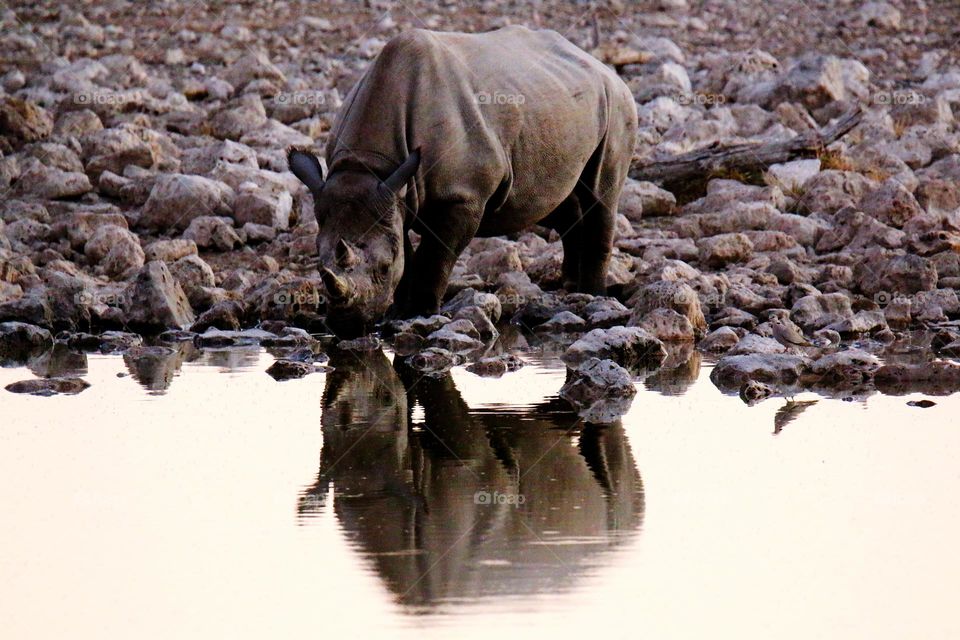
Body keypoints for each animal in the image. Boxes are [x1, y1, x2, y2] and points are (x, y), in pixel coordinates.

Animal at [288, 25, 637, 335]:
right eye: (317, 262)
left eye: (384, 268)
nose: (345, 328)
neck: (368, 166)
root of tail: (601, 66)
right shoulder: (395, 196)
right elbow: (407, 251)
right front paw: (400, 310)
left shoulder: (461, 195)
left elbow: (436, 256)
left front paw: (420, 313)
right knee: (553, 200)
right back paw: (570, 284)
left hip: (617, 102)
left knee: (600, 195)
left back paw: (593, 295)